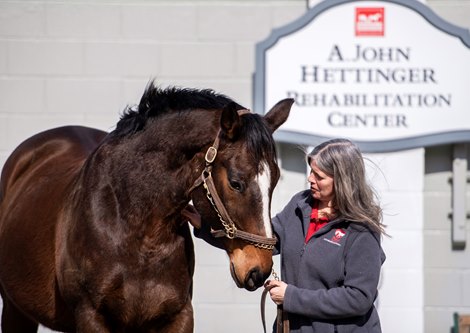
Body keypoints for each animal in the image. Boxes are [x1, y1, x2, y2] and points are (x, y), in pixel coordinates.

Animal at [0, 81, 294, 330]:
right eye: (236, 182)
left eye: (275, 179)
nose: (259, 270)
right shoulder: (91, 316)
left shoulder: (178, 316)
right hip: (16, 310)